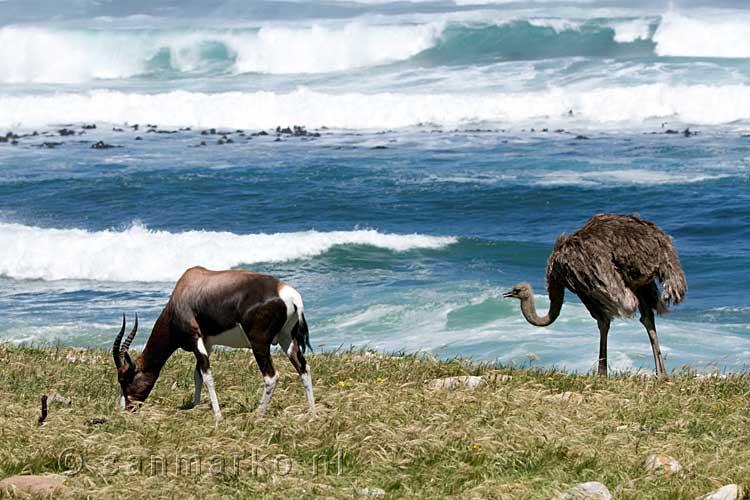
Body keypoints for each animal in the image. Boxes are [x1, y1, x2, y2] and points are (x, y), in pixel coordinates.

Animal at [111, 268, 314, 420]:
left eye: (125, 378)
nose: (126, 409)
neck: (186, 288)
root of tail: (289, 294)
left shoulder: (195, 339)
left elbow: (207, 376)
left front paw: (218, 416)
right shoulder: (206, 343)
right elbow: (197, 374)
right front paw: (195, 406)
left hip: (260, 343)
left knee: (271, 377)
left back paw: (256, 415)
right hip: (287, 339)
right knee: (303, 367)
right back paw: (313, 413)